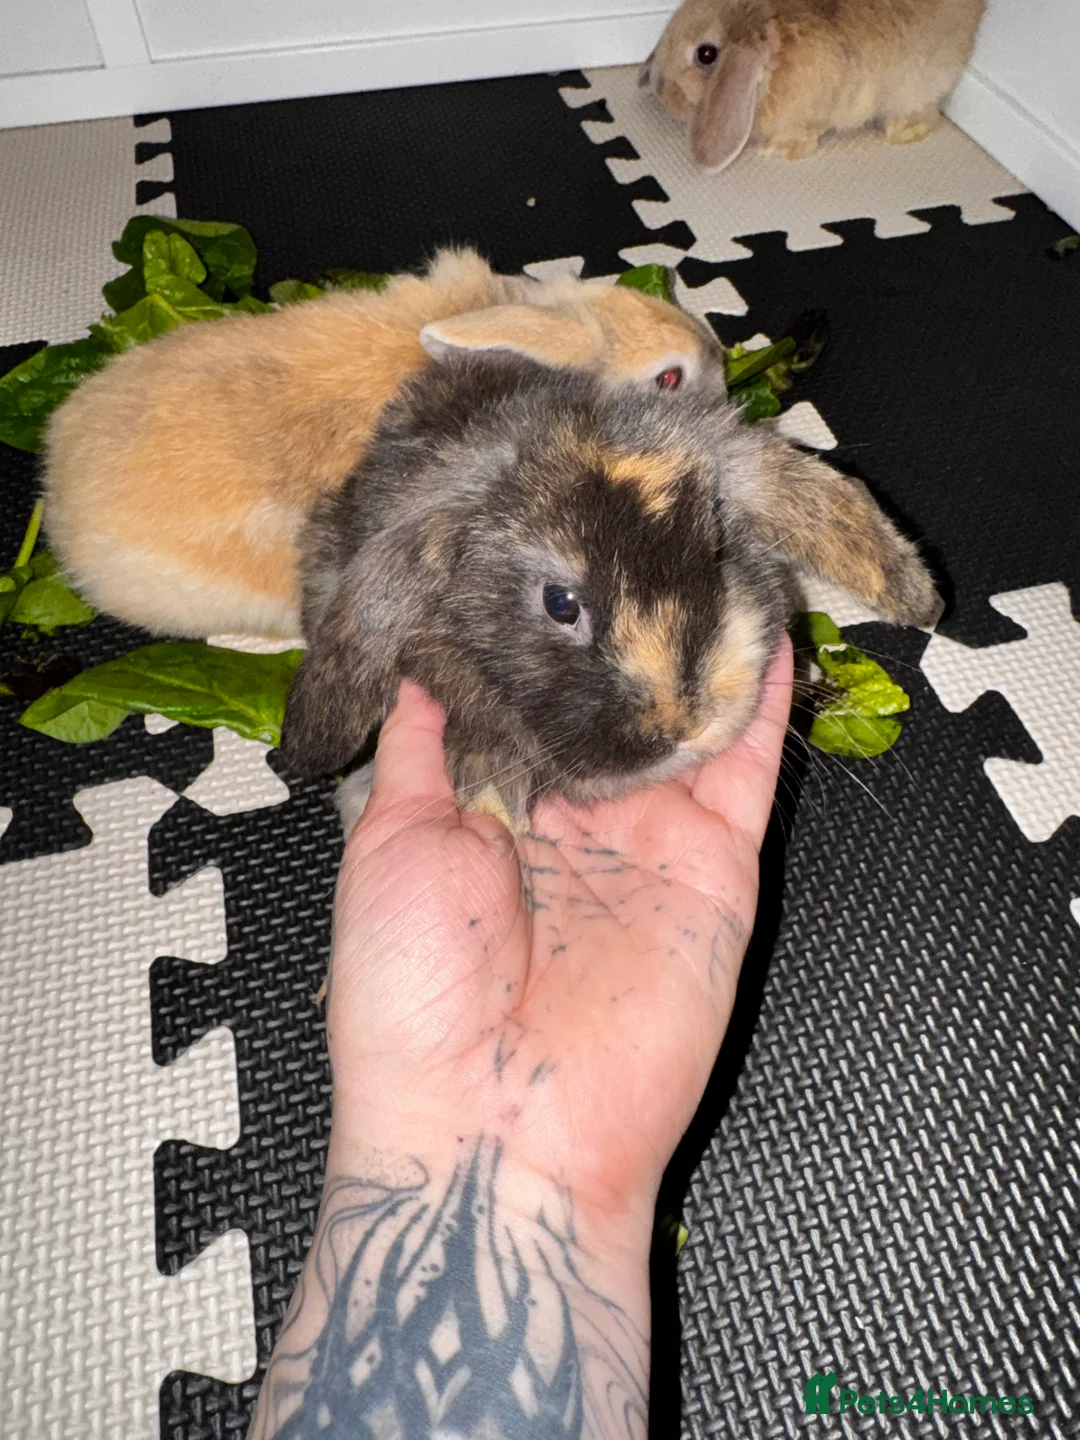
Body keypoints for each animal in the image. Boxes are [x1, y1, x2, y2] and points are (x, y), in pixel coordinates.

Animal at [640, 0, 986, 171]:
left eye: (706, 54)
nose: (663, 92)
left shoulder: (808, 116)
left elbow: (802, 139)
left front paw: (774, 151)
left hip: (916, 87)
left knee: (926, 115)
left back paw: (900, 133)